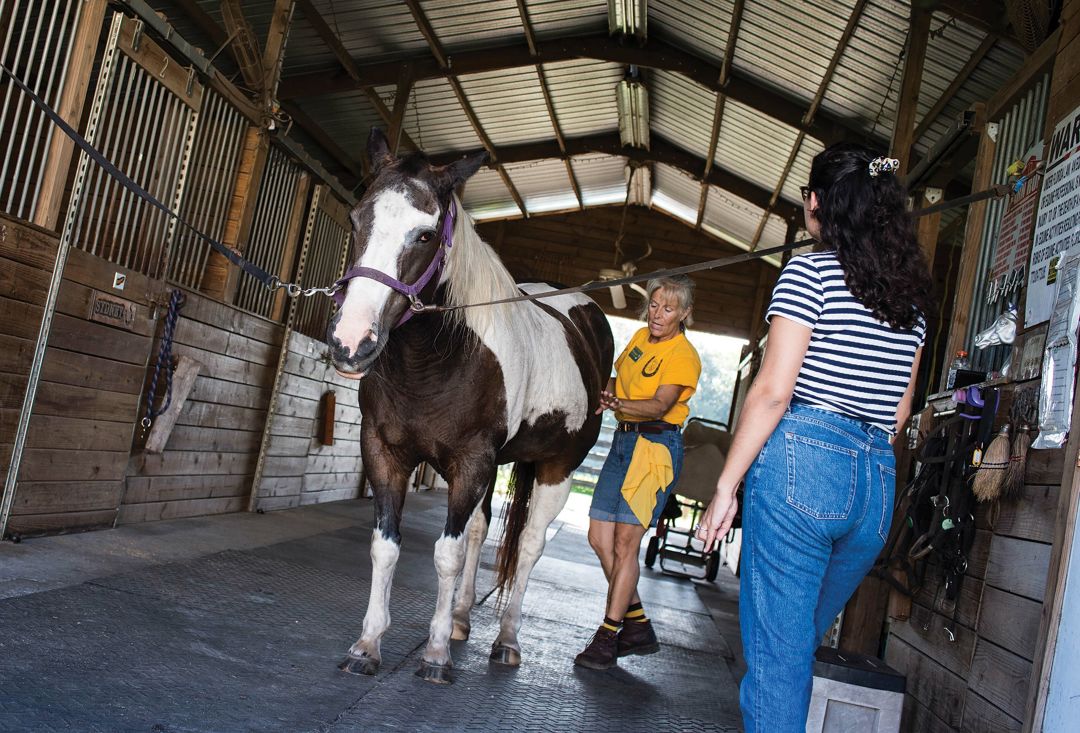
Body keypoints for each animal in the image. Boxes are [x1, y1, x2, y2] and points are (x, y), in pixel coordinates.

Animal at [326, 129, 617, 686]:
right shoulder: (384, 452)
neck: (437, 361)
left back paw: (506, 640)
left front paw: (436, 655)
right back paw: (462, 617)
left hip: (557, 469)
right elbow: (386, 545)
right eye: (355, 218)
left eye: (424, 235)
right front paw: (367, 645)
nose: (351, 343)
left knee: (529, 546)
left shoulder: (472, 462)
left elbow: (448, 552)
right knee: (483, 530)